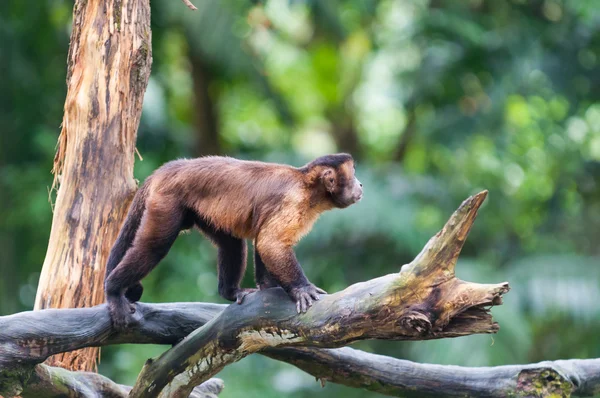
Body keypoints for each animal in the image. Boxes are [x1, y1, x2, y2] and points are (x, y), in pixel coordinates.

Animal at [105, 154, 364, 328]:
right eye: (353, 175)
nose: (360, 184)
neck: (307, 185)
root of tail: (172, 167)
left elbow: (262, 240)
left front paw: (269, 287)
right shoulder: (294, 201)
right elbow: (270, 243)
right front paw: (302, 289)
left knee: (232, 243)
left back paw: (229, 292)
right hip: (167, 199)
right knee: (155, 246)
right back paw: (113, 290)